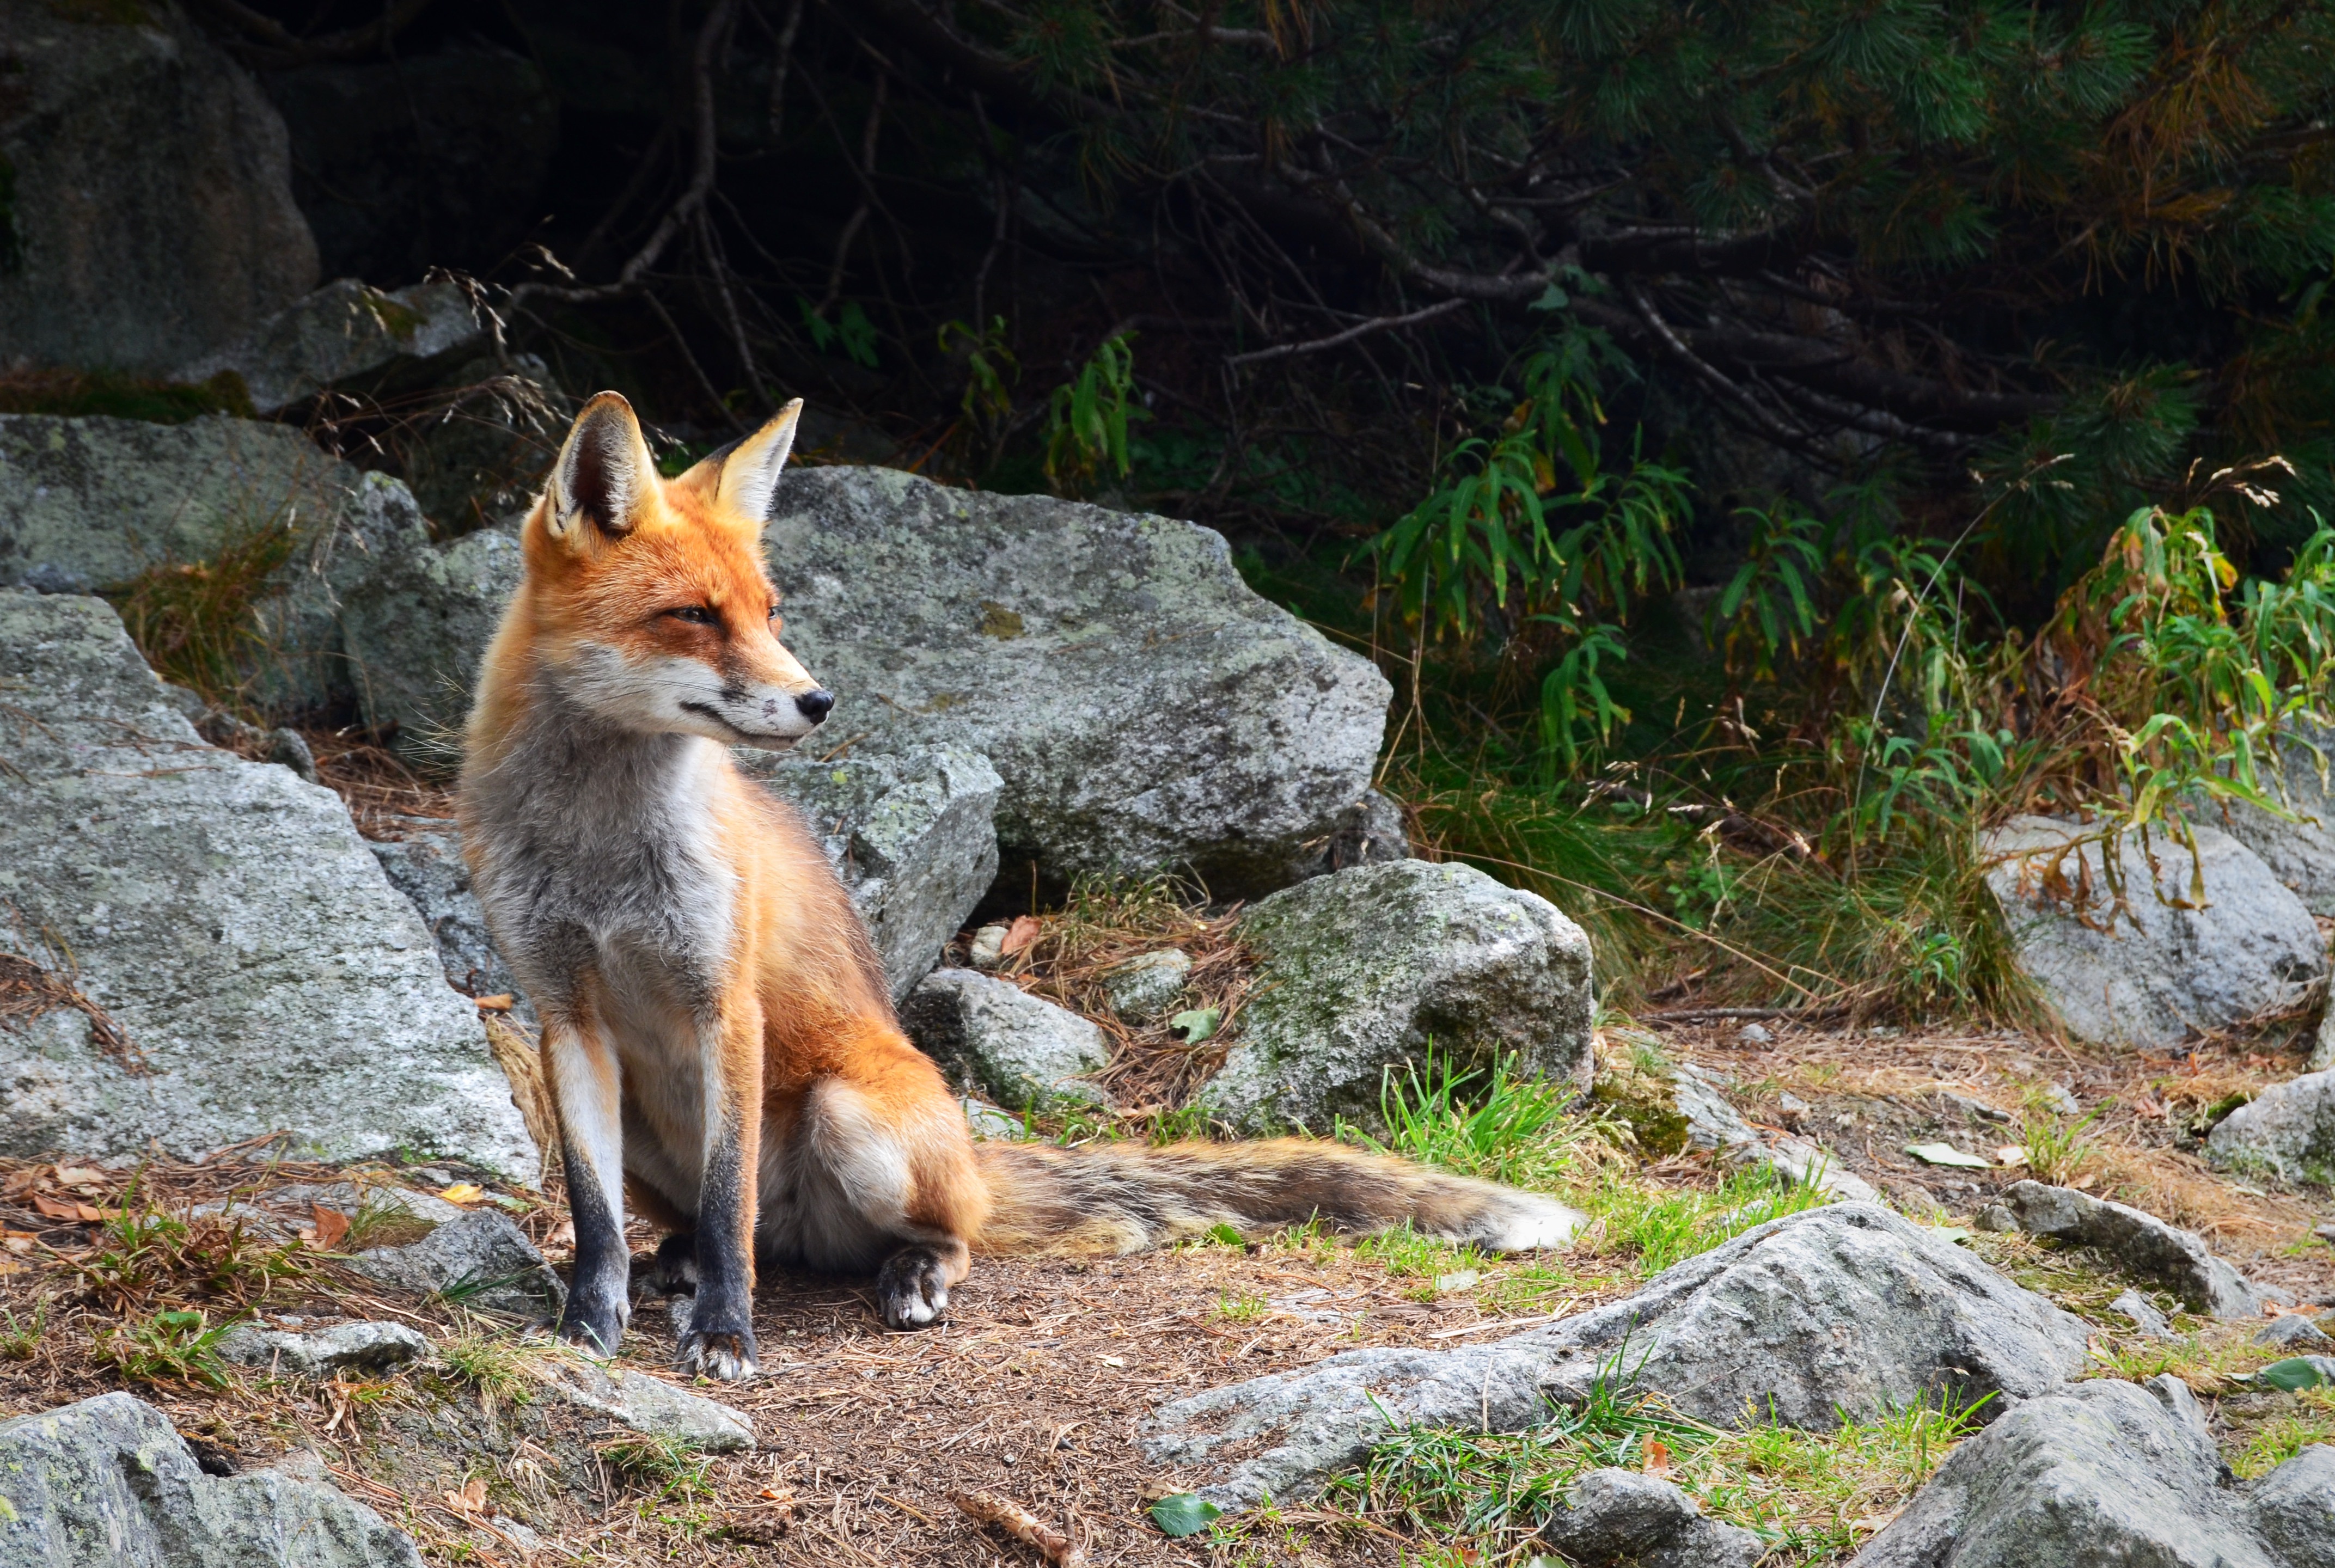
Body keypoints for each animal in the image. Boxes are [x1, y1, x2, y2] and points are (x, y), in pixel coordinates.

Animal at [455, 394, 1587, 1381]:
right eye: (692, 615)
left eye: (770, 614)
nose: (819, 701)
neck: (600, 854)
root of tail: (965, 1153)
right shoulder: (564, 1015)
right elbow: (593, 1218)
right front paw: (586, 1324)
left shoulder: (723, 1005)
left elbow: (729, 1198)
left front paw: (727, 1337)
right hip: (650, 1130)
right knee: (724, 1228)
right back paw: (680, 1263)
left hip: (852, 1120)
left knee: (910, 1235)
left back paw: (906, 1272)